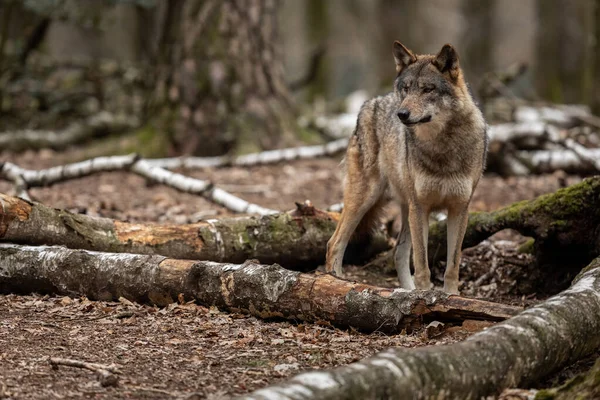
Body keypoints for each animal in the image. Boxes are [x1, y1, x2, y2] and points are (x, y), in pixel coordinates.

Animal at [328, 42, 488, 296]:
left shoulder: (459, 209)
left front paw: (451, 296)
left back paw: (405, 291)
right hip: (367, 198)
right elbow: (422, 265)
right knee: (334, 243)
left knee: (398, 253)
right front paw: (423, 295)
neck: (442, 148)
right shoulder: (421, 207)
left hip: (404, 207)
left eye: (427, 89)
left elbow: (452, 265)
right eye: (406, 88)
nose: (401, 114)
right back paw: (336, 281)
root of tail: (370, 102)